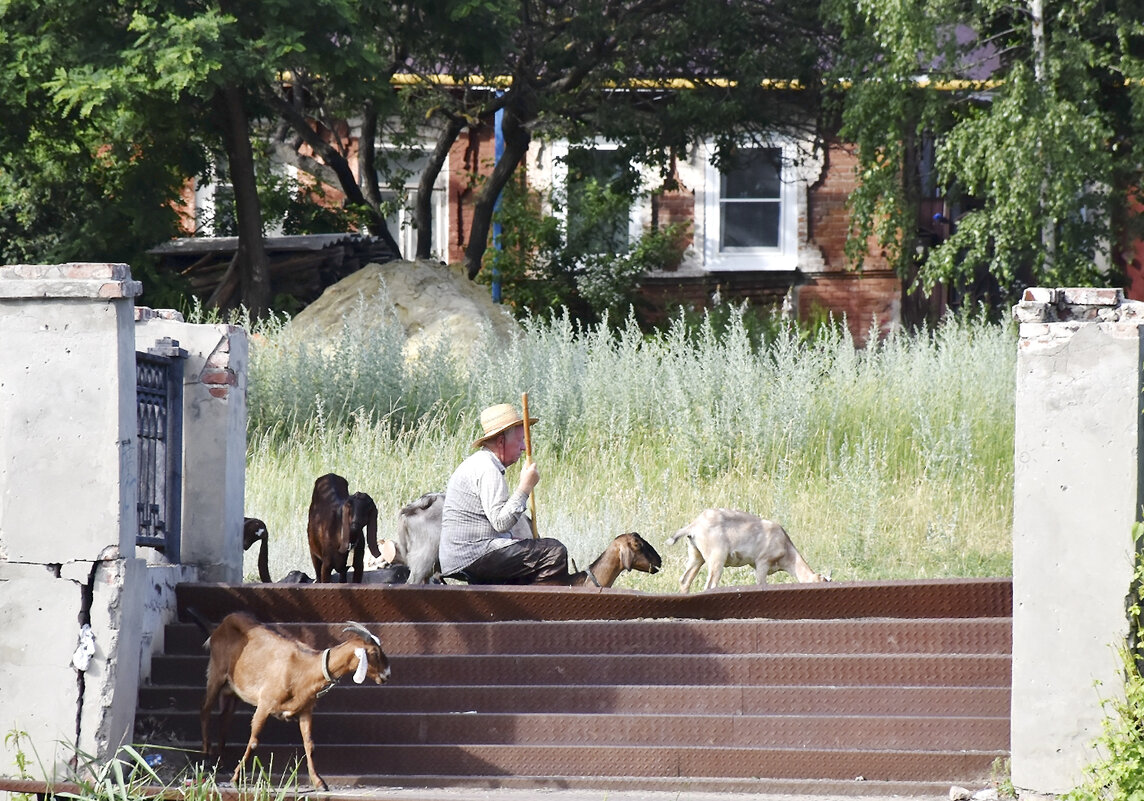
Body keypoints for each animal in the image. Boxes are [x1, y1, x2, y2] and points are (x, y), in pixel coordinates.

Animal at [194, 613, 391, 787]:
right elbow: (254, 742)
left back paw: (220, 762)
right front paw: (235, 778)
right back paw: (206, 758)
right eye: (374, 653)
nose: (387, 674)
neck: (303, 669)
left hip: (234, 690)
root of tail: (219, 626)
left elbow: (310, 745)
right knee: (205, 709)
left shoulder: (305, 711)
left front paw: (319, 782)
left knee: (225, 717)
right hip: (216, 673)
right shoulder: (264, 705)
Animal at [668, 510, 828, 590]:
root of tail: (694, 525)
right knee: (710, 585)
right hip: (716, 558)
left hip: (696, 556)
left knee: (685, 580)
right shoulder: (762, 563)